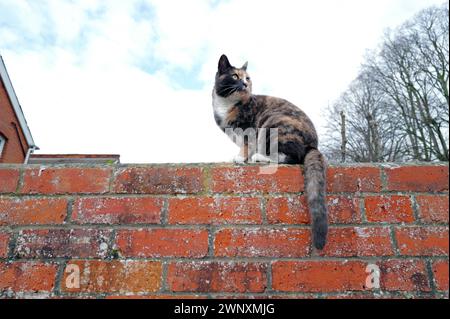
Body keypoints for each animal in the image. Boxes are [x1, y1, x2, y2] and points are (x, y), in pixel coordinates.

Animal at [213, 54, 328, 250]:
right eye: (235, 76)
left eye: (247, 78)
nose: (245, 84)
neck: (227, 103)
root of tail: (314, 145)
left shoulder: (249, 129)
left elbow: (247, 145)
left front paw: (240, 158)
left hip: (273, 124)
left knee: (290, 156)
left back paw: (260, 158)